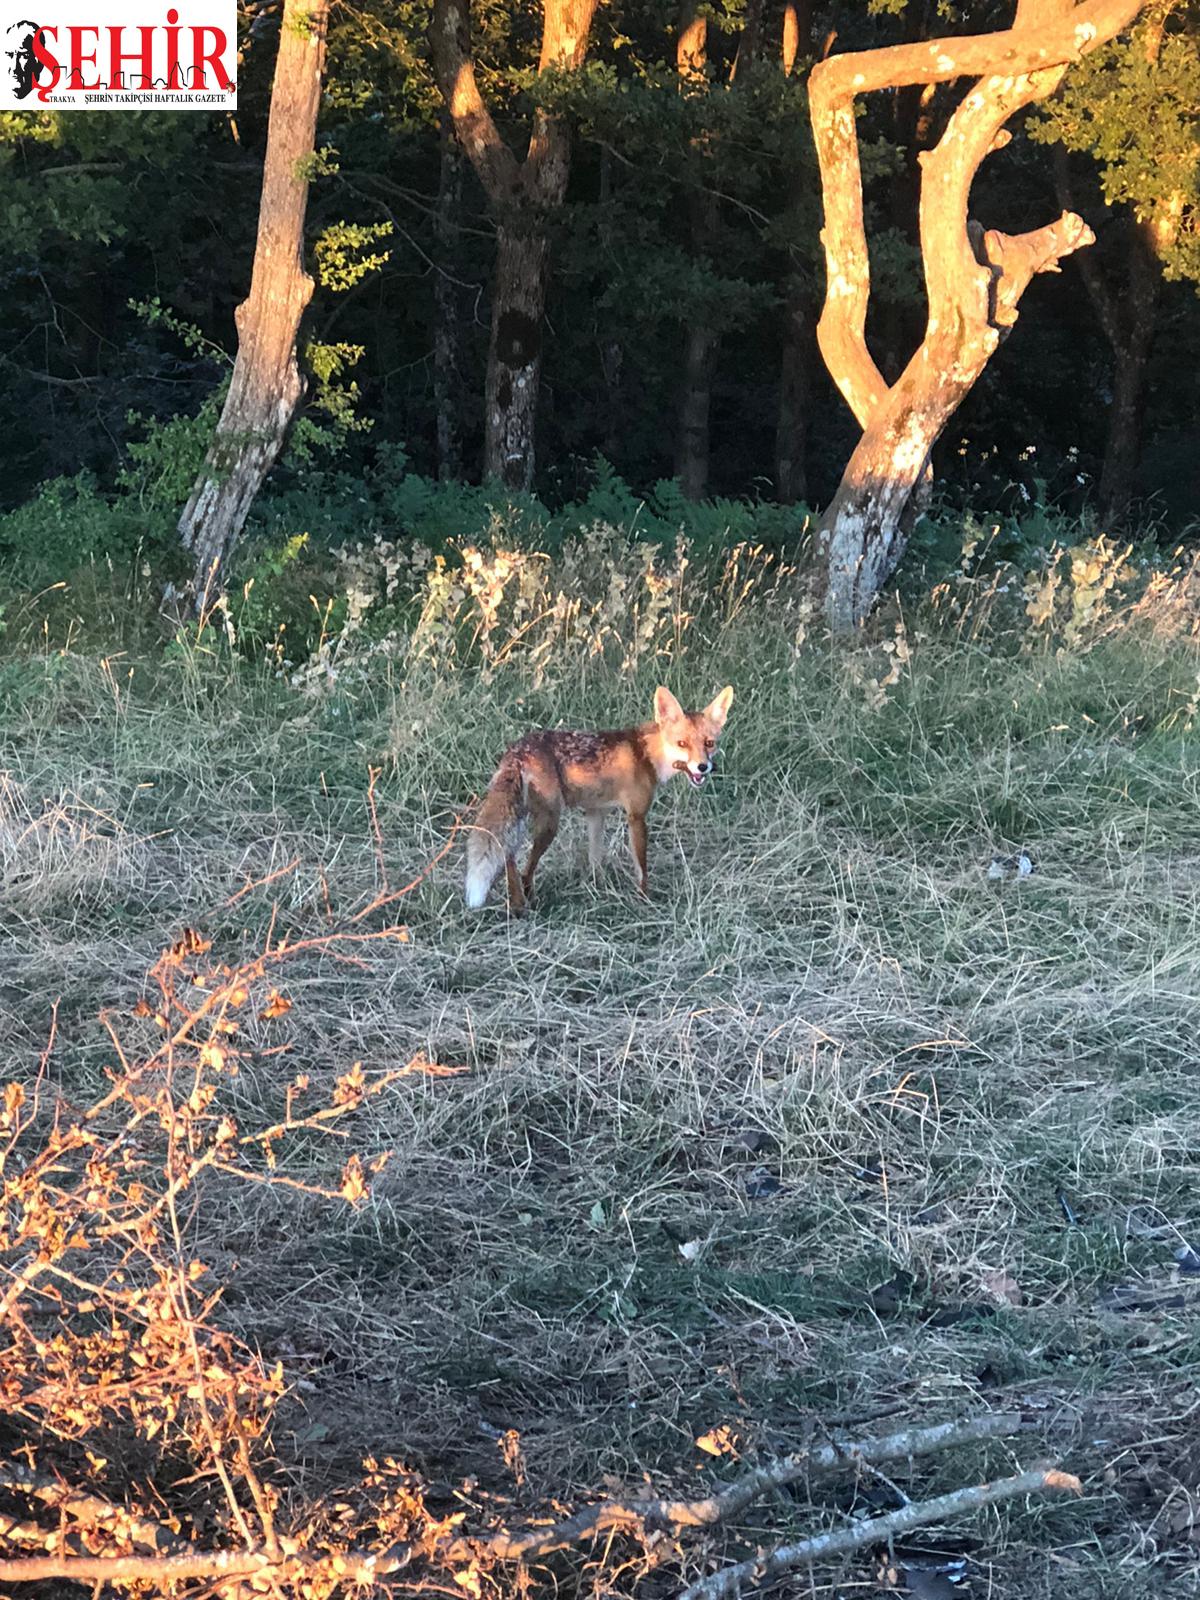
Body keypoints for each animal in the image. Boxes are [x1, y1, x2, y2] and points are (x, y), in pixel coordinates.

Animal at [464, 688, 732, 915]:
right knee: (522, 865)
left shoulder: (595, 813)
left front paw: (597, 887)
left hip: (525, 816)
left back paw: (517, 901)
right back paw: (525, 900)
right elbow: (642, 868)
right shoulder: (636, 816)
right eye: (682, 744)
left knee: (508, 854)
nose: (703, 767)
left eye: (709, 743)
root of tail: (517, 749)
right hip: (549, 822)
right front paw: (644, 900)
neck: (645, 754)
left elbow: (595, 857)